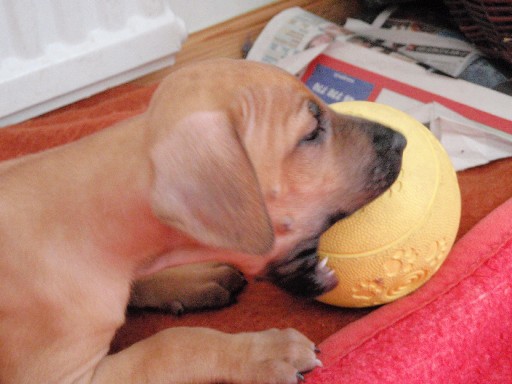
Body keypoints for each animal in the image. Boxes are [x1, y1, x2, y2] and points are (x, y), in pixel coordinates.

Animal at [1, 58, 404, 382]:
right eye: (311, 133)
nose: (401, 140)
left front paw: (191, 278)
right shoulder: (63, 377)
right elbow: (172, 343)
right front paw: (265, 352)